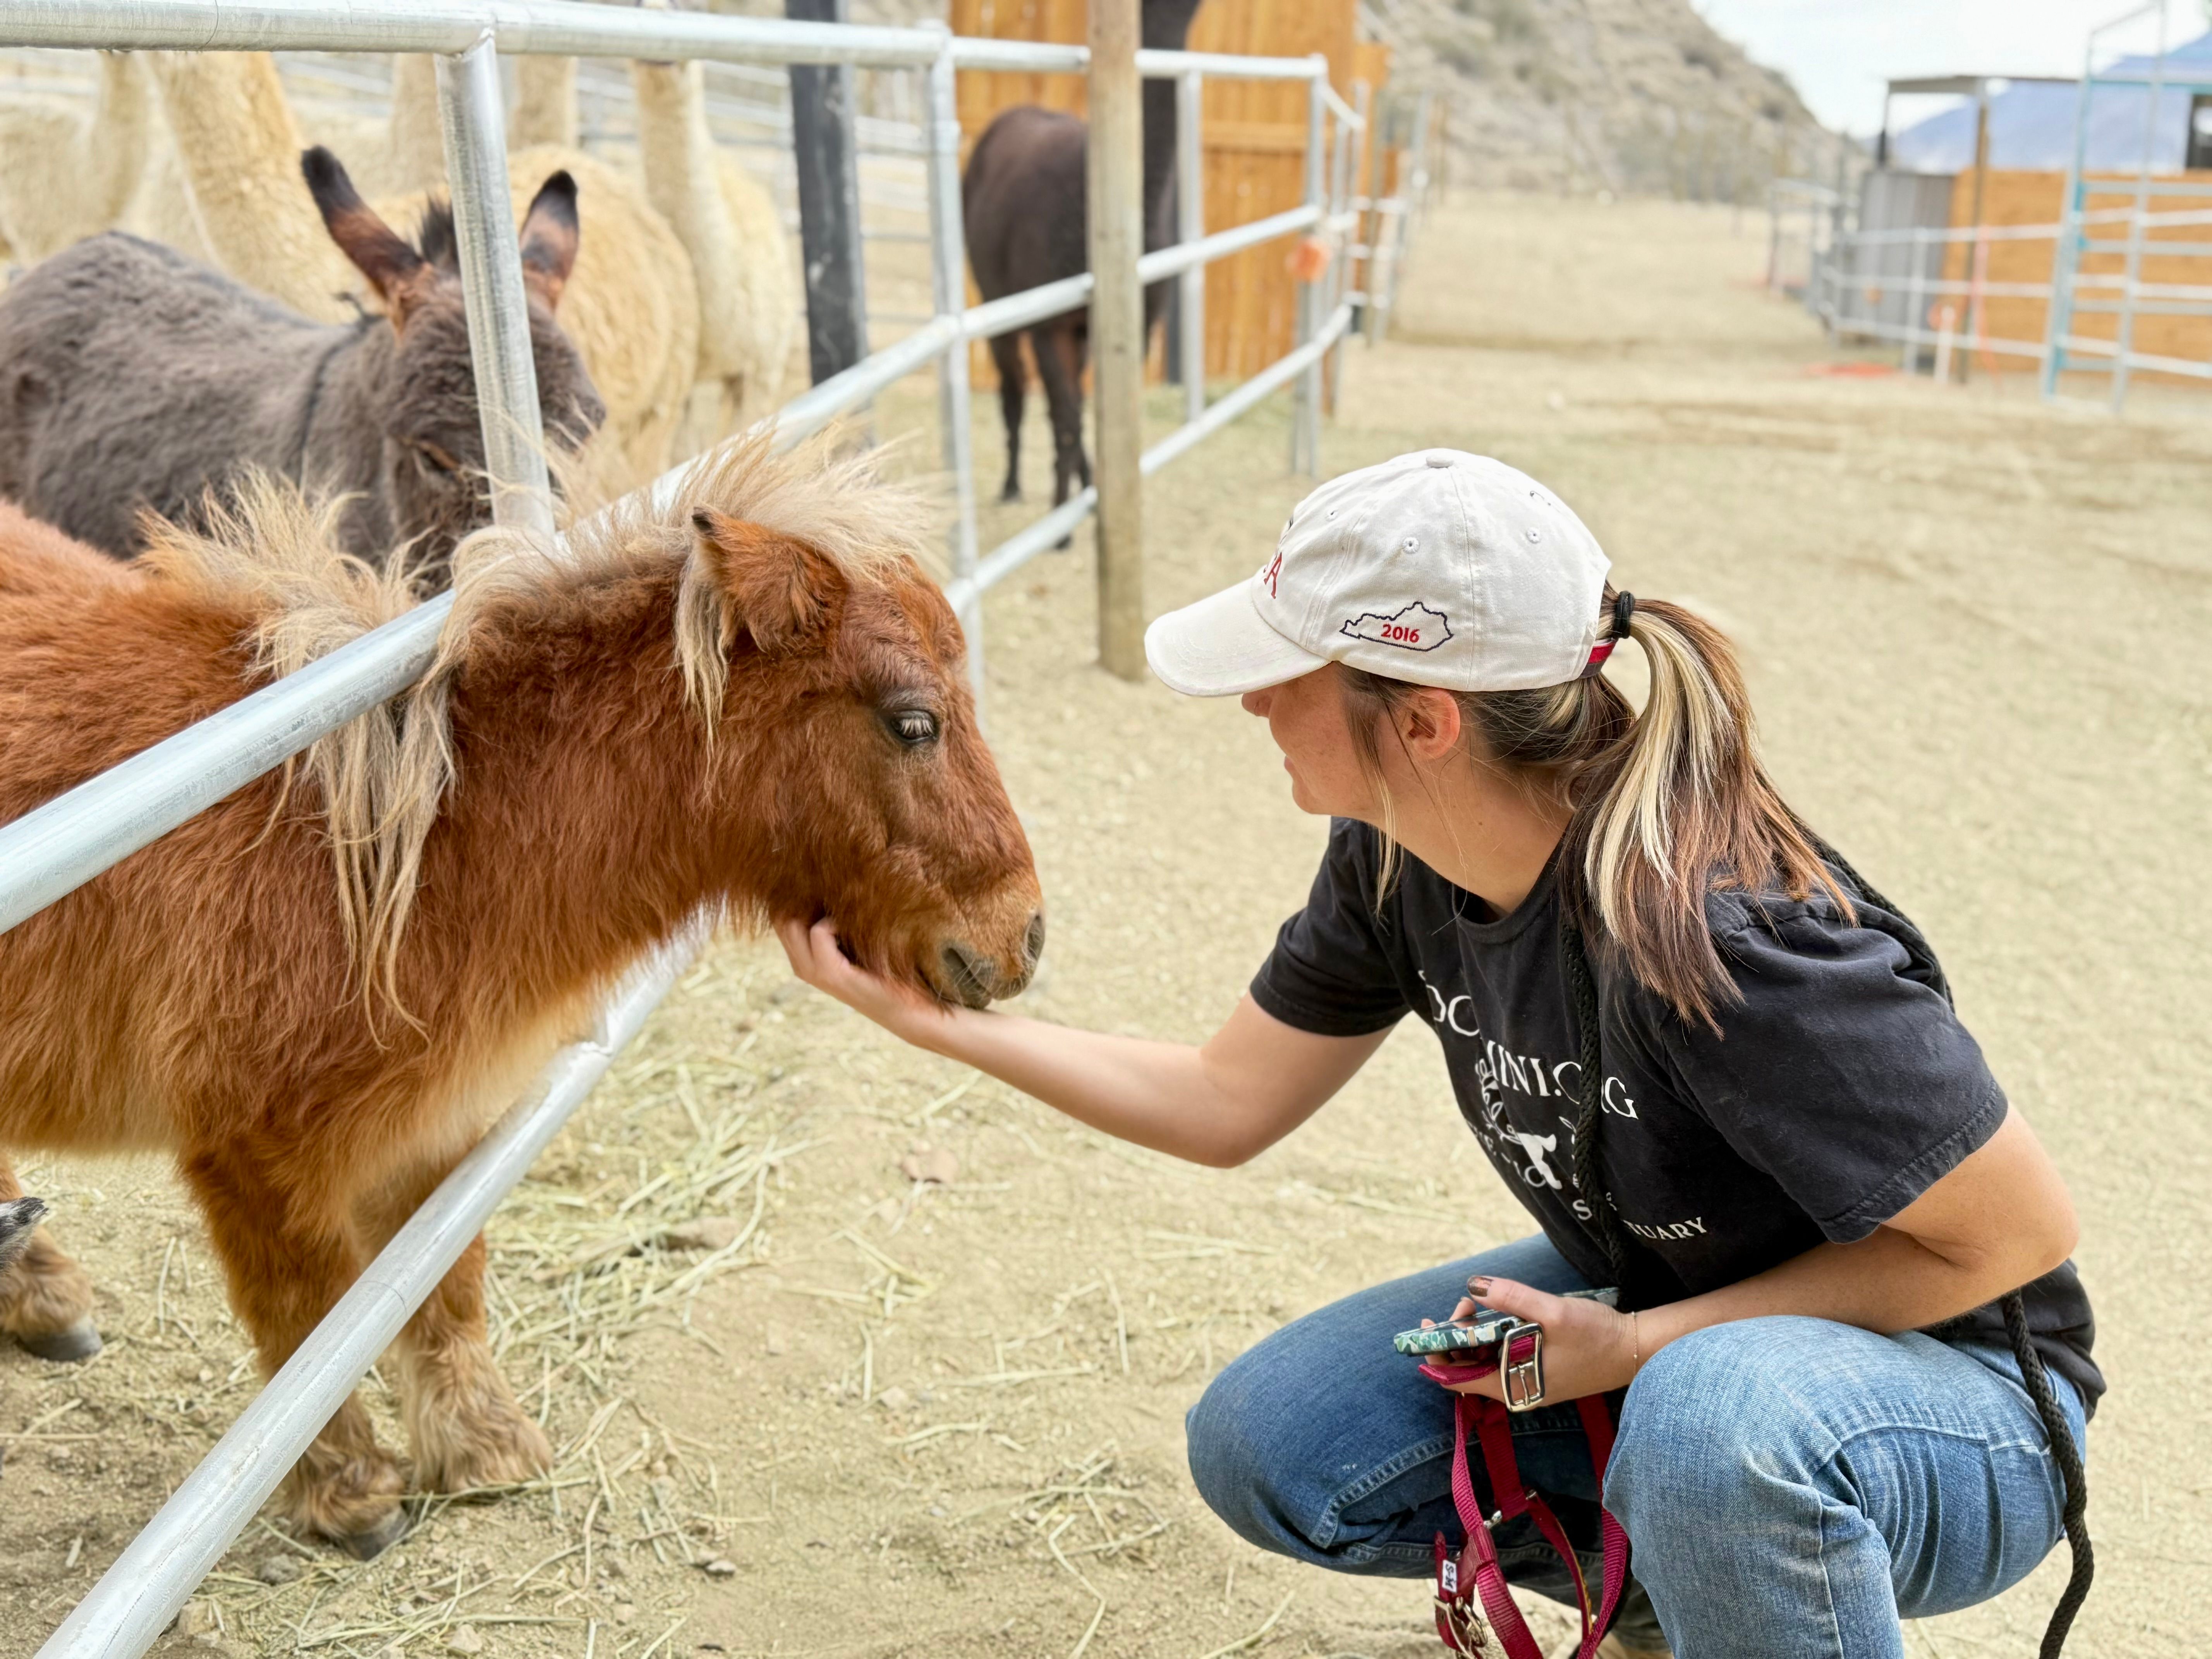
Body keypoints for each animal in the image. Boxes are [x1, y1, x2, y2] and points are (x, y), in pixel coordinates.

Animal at [0, 434, 1043, 1557]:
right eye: (913, 722)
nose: (1025, 936)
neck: (387, 857)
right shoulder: (253, 1159)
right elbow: (305, 1323)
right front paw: (350, 1493)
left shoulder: (436, 1131)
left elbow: (440, 1286)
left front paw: (483, 1449)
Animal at [961, 0, 1204, 517]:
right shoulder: (1050, 321)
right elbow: (1068, 418)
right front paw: (1063, 519)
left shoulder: (1128, 326)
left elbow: (1101, 415)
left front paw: (1090, 493)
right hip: (997, 296)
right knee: (1016, 389)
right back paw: (1013, 485)